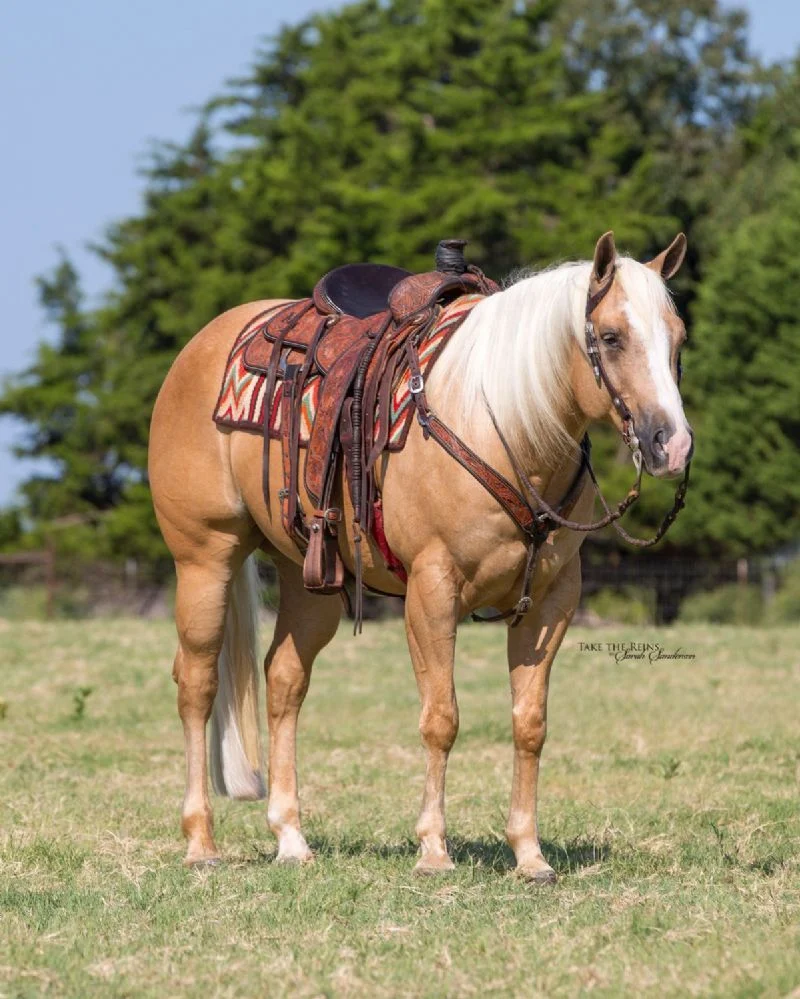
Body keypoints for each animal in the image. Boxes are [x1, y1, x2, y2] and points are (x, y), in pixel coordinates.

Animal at [148, 230, 693, 880]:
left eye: (679, 335)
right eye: (610, 337)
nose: (671, 444)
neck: (501, 424)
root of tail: (206, 343)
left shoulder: (551, 602)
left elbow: (529, 724)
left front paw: (528, 854)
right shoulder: (432, 590)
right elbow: (441, 719)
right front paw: (433, 849)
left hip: (310, 578)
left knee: (283, 681)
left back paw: (290, 837)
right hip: (206, 558)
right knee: (196, 683)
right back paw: (200, 841)